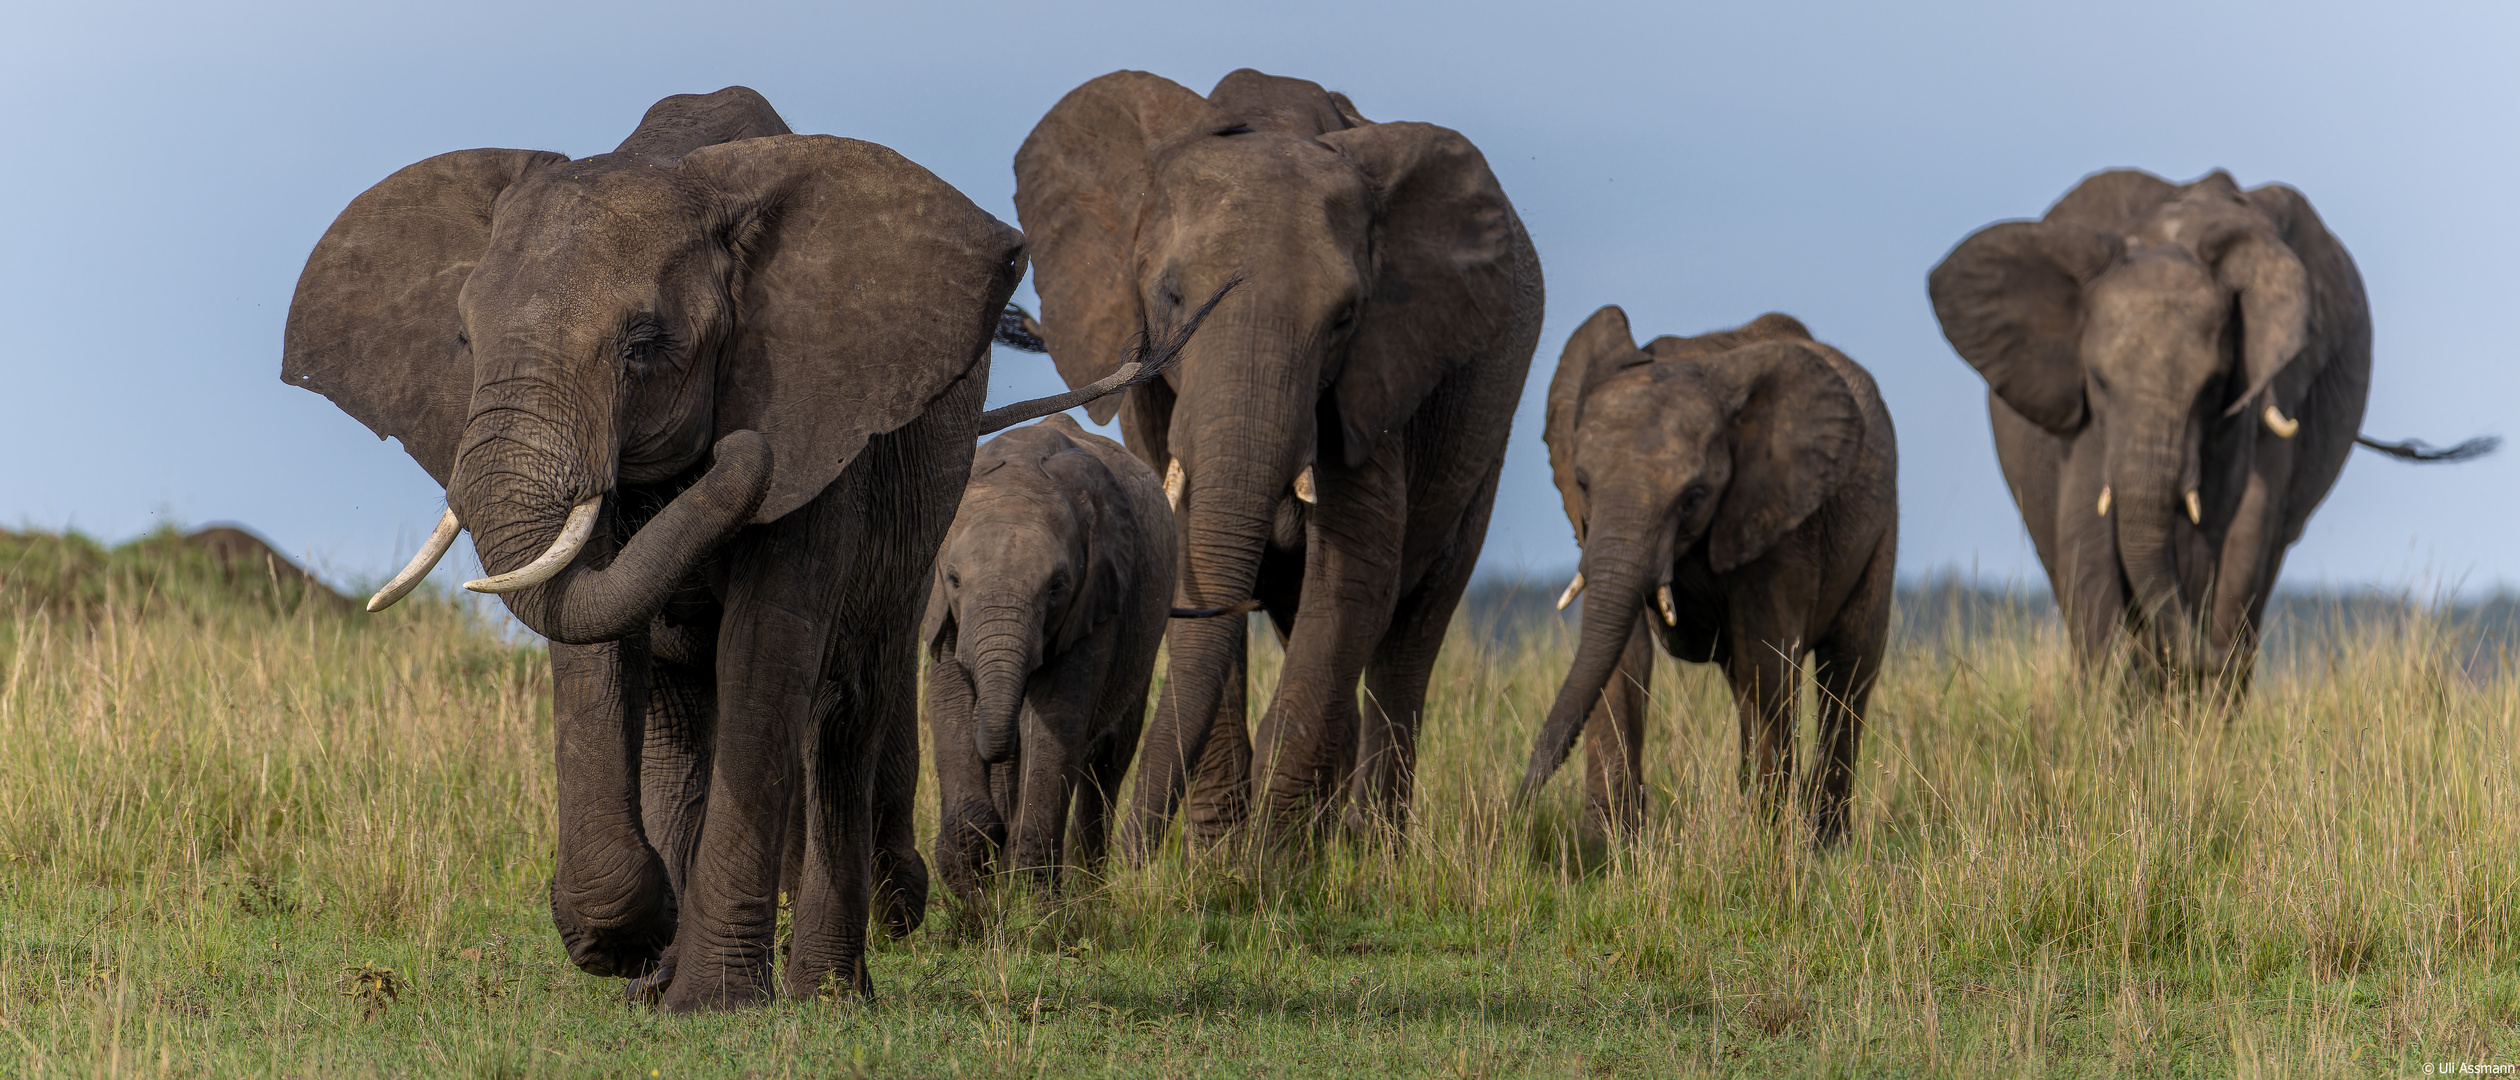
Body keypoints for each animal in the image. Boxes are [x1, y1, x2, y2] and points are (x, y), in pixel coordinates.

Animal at [927, 412, 1179, 901]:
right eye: (954, 579)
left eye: (1057, 586)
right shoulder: (942, 610)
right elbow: (948, 698)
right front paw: (969, 879)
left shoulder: (1098, 595)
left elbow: (1055, 720)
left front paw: (1031, 899)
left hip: (1144, 641)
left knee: (1107, 761)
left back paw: (1088, 892)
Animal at [1013, 67, 1542, 850]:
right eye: (1170, 295)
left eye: (1344, 318)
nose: (1127, 862)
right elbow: (1194, 559)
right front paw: (1222, 857)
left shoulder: (1376, 376)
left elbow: (1354, 575)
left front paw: (1267, 860)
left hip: (1482, 441)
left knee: (1410, 637)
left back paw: (1371, 848)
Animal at [1512, 309, 1895, 840]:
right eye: (1583, 483)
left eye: (1694, 496)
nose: (1513, 809)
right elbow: (1622, 654)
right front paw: (1603, 847)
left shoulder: (1776, 515)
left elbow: (1768, 653)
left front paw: (1766, 842)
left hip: (1880, 526)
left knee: (1848, 668)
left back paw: (1824, 842)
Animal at [1935, 168, 2489, 689]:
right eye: (2097, 380)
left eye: (2213, 384)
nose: (2212, 653)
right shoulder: (2087, 423)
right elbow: (2084, 534)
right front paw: (2117, 712)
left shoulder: (2268, 387)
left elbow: (2247, 529)